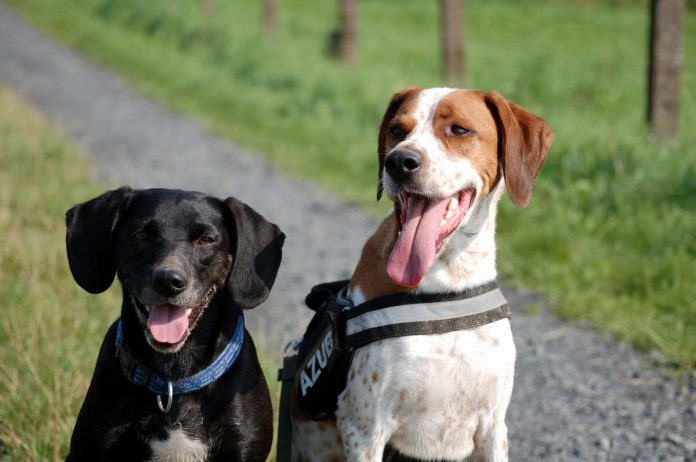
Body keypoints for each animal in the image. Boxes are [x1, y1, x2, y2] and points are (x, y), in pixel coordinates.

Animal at [290, 87, 552, 462]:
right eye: (397, 131)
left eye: (459, 129)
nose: (399, 161)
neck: (445, 287)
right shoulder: (364, 431)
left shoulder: (493, 428)